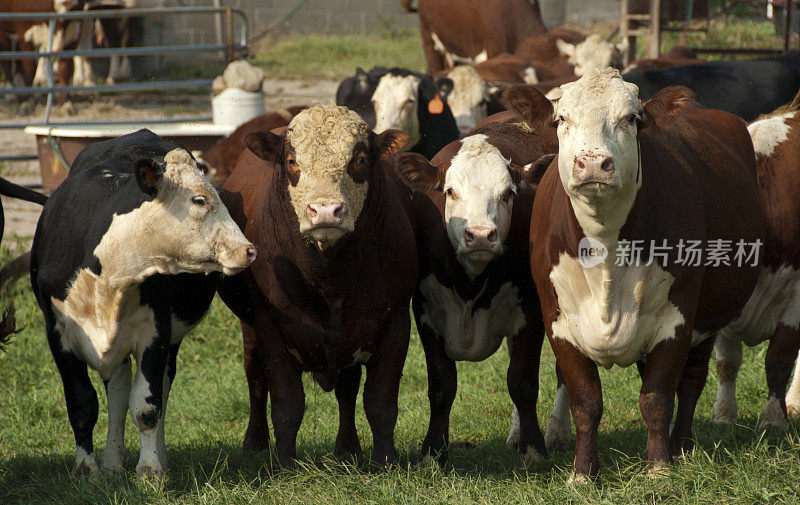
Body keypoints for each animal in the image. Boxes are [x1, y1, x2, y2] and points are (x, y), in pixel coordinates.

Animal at [29, 129, 255, 476]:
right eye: (199, 199)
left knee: (157, 388)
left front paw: (149, 470)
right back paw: (111, 463)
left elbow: (147, 406)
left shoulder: (156, 332)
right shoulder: (58, 334)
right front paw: (87, 468)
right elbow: (82, 404)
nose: (248, 250)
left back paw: (152, 457)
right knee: (118, 389)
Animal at [219, 104, 418, 466]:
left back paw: (347, 448)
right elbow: (287, 405)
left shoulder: (395, 322)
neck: (329, 280)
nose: (325, 211)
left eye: (360, 159)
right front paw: (284, 464)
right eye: (292, 161)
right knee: (255, 378)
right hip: (249, 329)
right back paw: (255, 442)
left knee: (347, 389)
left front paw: (385, 460)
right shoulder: (270, 326)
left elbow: (380, 402)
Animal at [396, 83, 560, 464]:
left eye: (508, 193)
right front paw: (433, 452)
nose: (482, 235)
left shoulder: (531, 310)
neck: (469, 283)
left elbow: (523, 381)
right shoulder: (426, 313)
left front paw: (534, 449)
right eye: (450, 191)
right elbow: (441, 385)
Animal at [532, 67, 768, 480]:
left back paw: (681, 446)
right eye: (561, 120)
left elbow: (657, 398)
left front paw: (659, 468)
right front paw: (583, 473)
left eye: (631, 119)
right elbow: (585, 401)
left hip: (707, 317)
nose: (593, 163)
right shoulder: (558, 322)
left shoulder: (677, 318)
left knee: (691, 381)